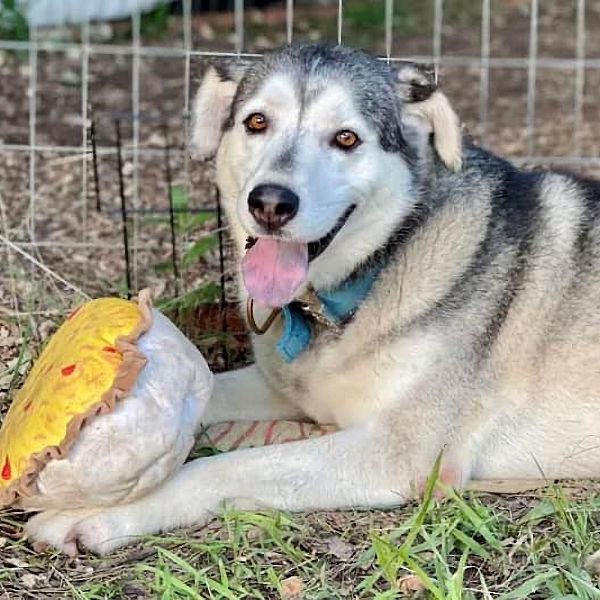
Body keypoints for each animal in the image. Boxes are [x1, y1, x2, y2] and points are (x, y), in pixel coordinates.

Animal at [25, 43, 600, 556]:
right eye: (257, 122)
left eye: (346, 138)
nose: (270, 203)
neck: (357, 288)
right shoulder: (280, 389)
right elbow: (205, 393)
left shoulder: (394, 452)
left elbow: (223, 466)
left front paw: (94, 512)